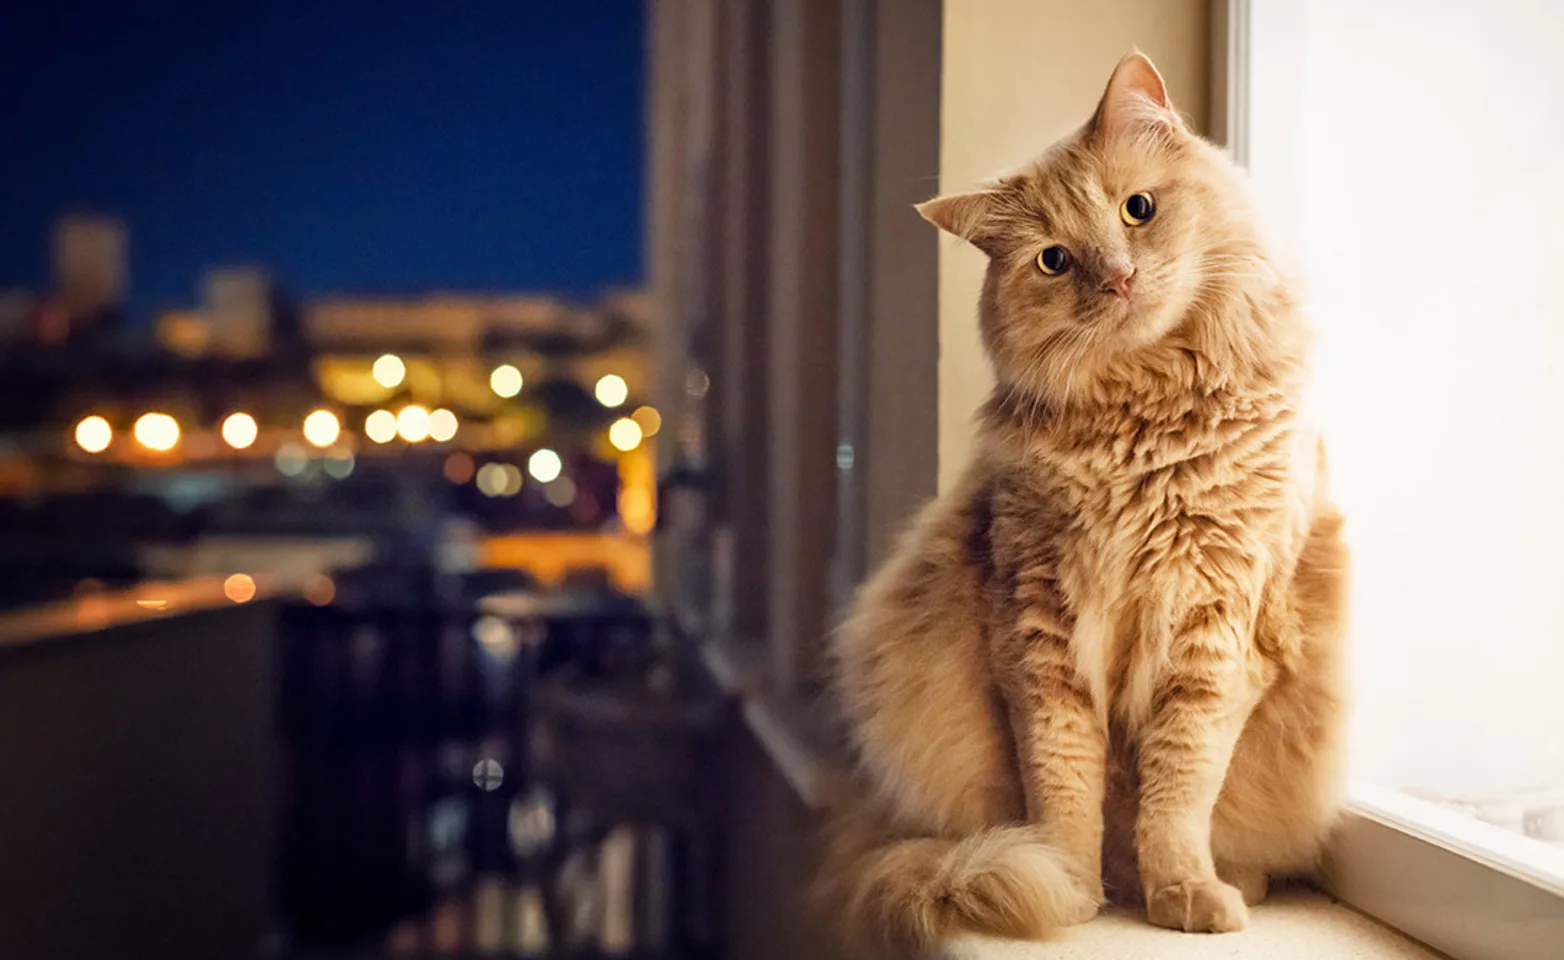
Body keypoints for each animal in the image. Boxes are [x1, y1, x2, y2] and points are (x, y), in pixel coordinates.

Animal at [825, 54, 1351, 960]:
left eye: (1138, 209)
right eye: (1054, 260)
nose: (1118, 277)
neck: (1150, 423)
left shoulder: (1216, 633)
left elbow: (1177, 793)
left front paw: (1180, 890)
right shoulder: (1038, 631)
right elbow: (1064, 787)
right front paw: (1067, 887)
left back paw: (1232, 879)